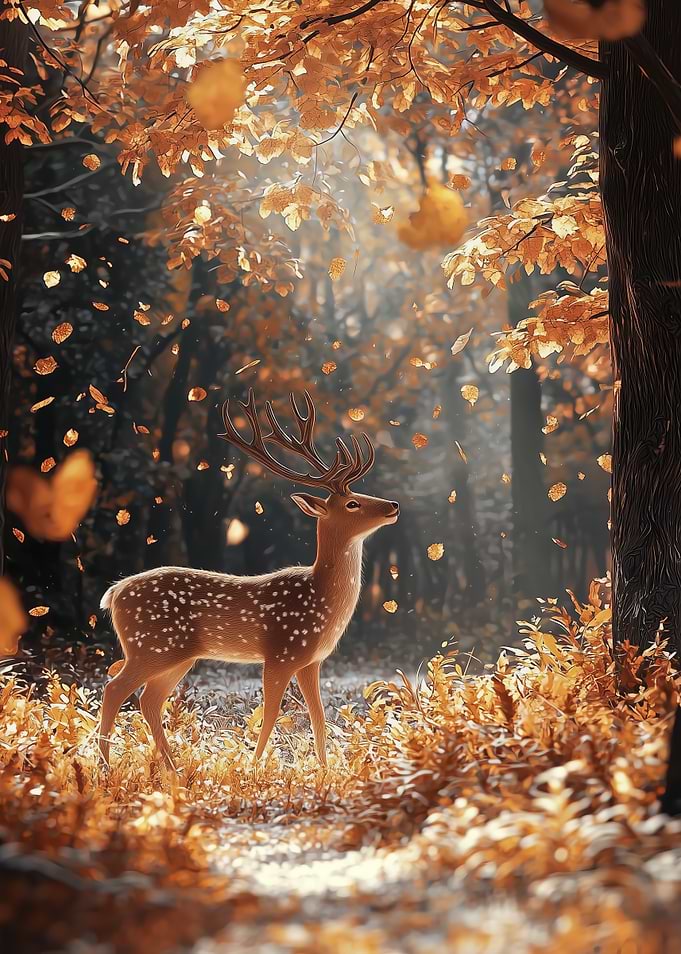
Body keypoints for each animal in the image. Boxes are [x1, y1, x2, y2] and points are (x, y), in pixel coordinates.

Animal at [97, 389, 399, 770]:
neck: (323, 600)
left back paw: (173, 769)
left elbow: (318, 716)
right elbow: (271, 711)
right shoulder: (282, 652)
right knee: (115, 689)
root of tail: (113, 593)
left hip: (175, 655)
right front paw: (254, 765)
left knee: (148, 699)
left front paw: (325, 770)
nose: (393, 505)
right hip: (150, 646)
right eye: (353, 504)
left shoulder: (311, 660)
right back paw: (107, 767)